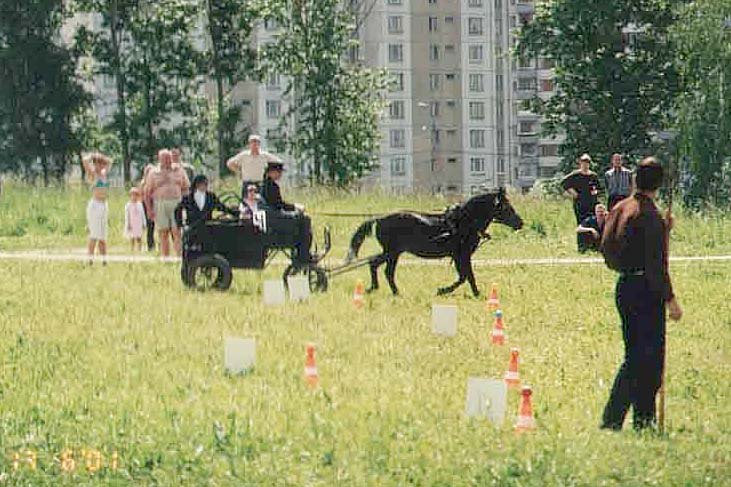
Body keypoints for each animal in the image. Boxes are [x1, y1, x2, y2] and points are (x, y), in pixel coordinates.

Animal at [346, 189, 524, 298]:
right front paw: (446, 290)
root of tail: (378, 218)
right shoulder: (462, 255)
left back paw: (380, 289)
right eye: (506, 207)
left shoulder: (460, 256)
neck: (464, 221)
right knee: (384, 269)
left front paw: (473, 293)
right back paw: (391, 291)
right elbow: (466, 276)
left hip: (392, 253)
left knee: (376, 265)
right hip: (392, 252)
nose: (520, 223)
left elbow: (465, 276)